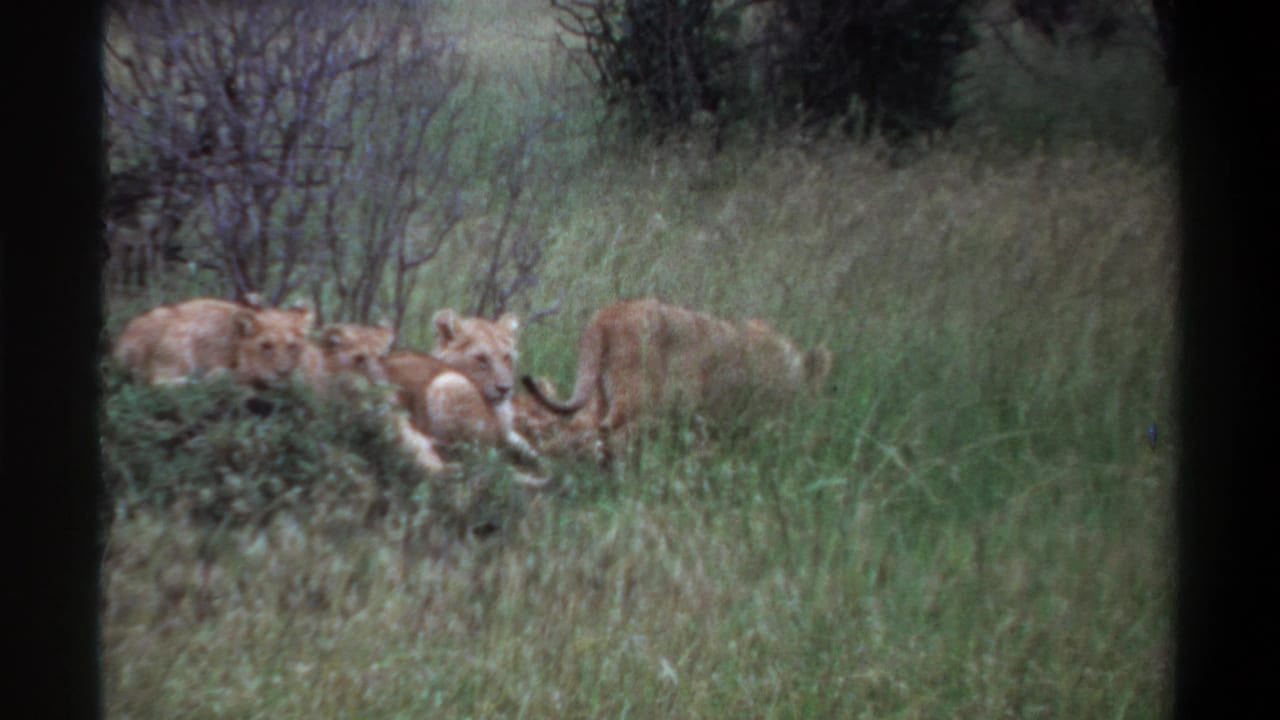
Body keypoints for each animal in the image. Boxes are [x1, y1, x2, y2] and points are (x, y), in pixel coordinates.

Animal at [382, 309, 545, 484]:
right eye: (481, 359)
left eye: (507, 357)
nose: (504, 389)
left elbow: (525, 444)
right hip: (448, 383)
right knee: (474, 458)